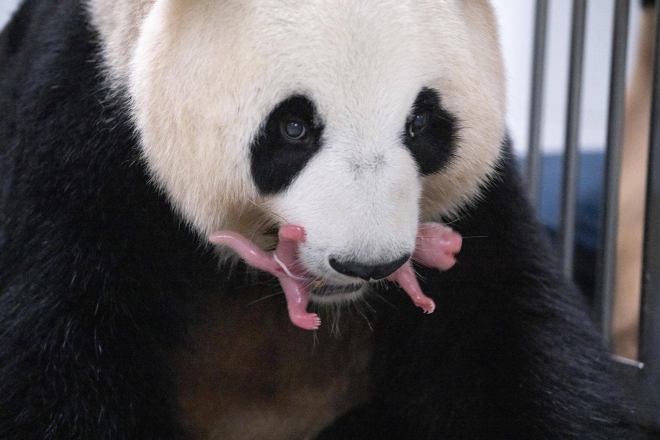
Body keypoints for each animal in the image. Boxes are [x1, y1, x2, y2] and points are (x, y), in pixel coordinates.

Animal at [0, 0, 656, 438]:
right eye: (294, 127)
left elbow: (514, 346)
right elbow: (59, 362)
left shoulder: (479, 213)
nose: (369, 263)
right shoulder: (81, 142)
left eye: (422, 123)